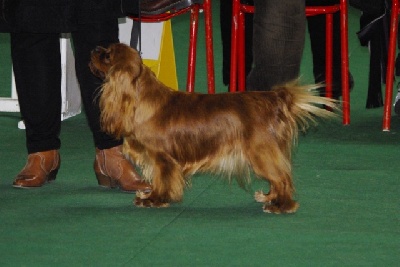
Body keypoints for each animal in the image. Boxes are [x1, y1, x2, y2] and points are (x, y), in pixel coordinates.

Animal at [90, 43, 338, 215]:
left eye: (107, 55)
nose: (94, 49)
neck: (139, 98)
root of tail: (274, 98)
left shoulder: (162, 158)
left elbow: (162, 180)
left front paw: (154, 200)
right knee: (278, 178)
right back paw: (269, 198)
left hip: (261, 152)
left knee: (282, 177)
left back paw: (281, 205)